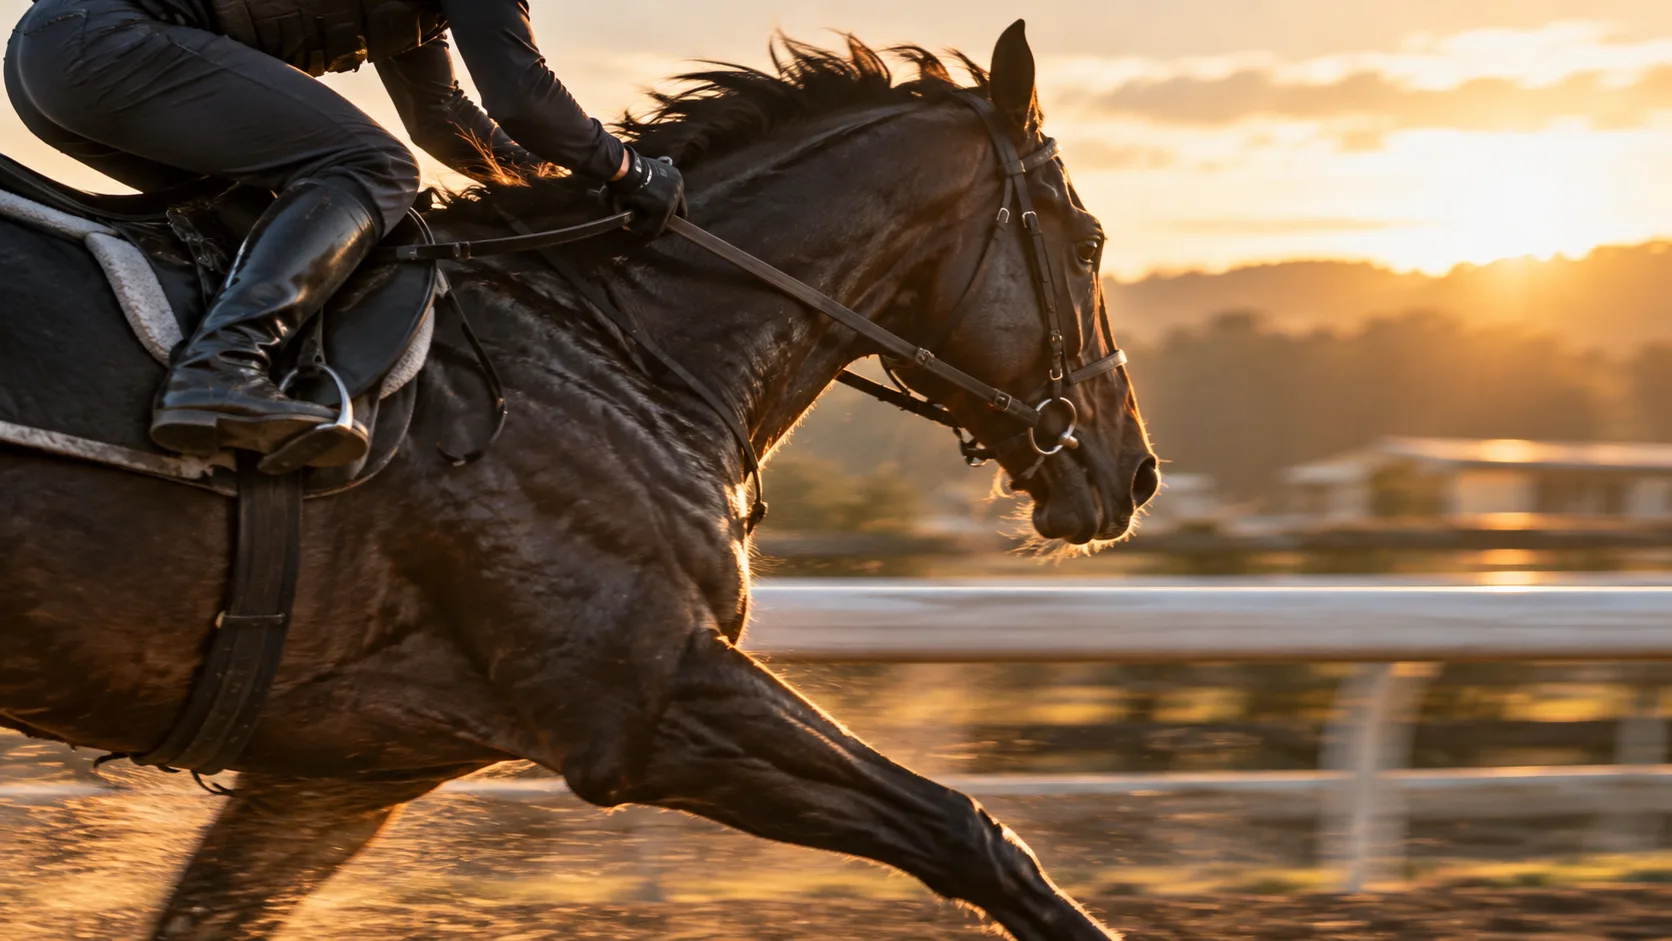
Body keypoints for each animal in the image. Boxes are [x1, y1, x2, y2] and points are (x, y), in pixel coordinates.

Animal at [0, 22, 1157, 941]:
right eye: (1089, 242)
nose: (1132, 471)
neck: (629, 339)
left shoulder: (333, 775)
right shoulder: (640, 697)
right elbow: (972, 835)